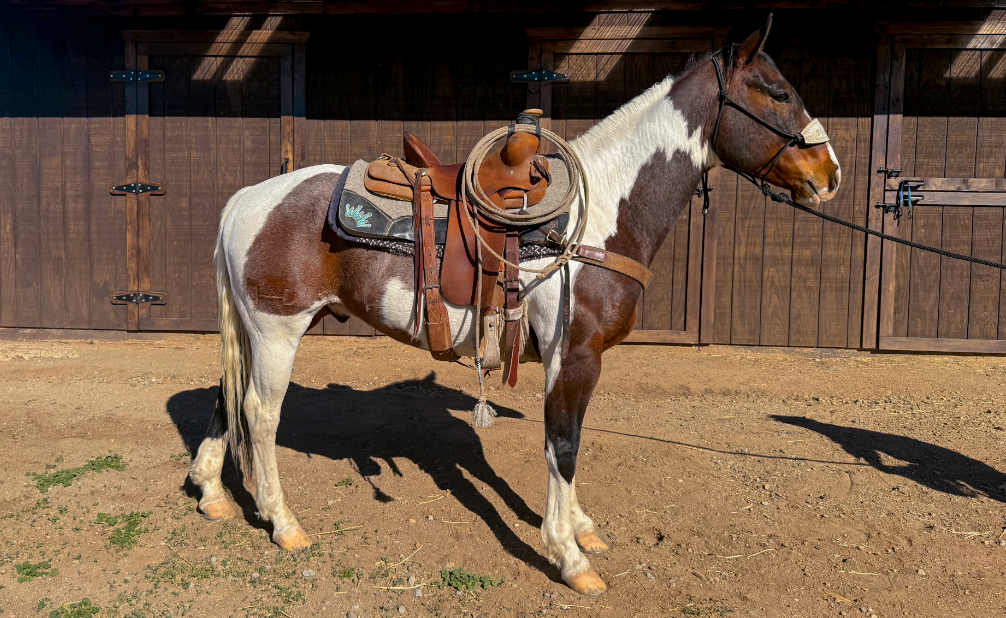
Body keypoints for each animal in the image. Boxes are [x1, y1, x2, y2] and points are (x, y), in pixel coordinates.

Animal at [188, 20, 840, 596]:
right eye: (778, 91)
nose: (830, 173)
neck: (595, 217)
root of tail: (248, 199)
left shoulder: (570, 359)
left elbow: (567, 441)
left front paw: (579, 528)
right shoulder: (574, 354)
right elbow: (563, 444)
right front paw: (569, 555)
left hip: (254, 330)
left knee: (228, 394)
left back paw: (214, 493)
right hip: (277, 331)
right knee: (260, 413)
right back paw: (283, 522)